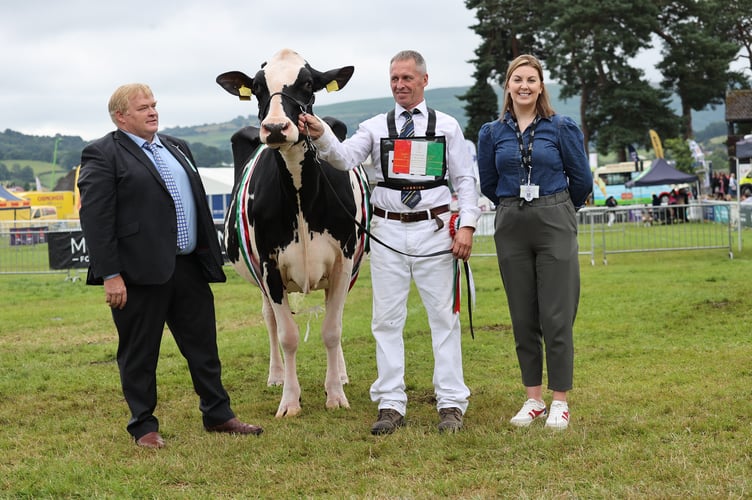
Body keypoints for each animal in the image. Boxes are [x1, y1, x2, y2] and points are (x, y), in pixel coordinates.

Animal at [216, 48, 368, 416]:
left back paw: (341, 374)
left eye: (309, 83)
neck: (300, 192)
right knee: (270, 320)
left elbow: (332, 330)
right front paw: (289, 400)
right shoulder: (269, 267)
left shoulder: (343, 262)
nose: (274, 127)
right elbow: (288, 335)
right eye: (257, 87)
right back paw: (276, 375)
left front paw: (335, 394)